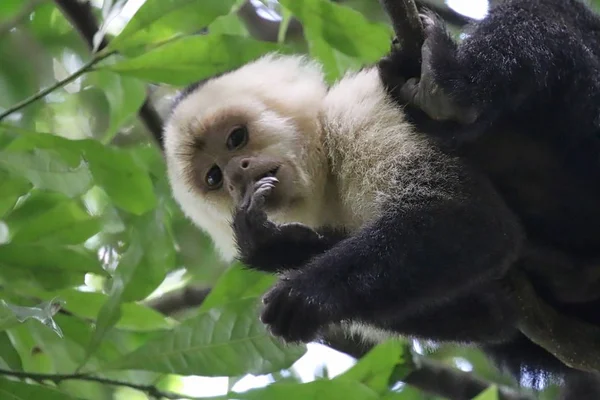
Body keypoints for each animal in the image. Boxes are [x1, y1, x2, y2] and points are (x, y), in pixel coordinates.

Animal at [162, 0, 600, 396]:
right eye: (214, 177)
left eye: (236, 138)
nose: (237, 175)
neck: (328, 167)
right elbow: (493, 316)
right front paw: (276, 247)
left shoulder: (363, 112)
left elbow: (472, 219)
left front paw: (306, 292)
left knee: (546, 15)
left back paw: (451, 92)